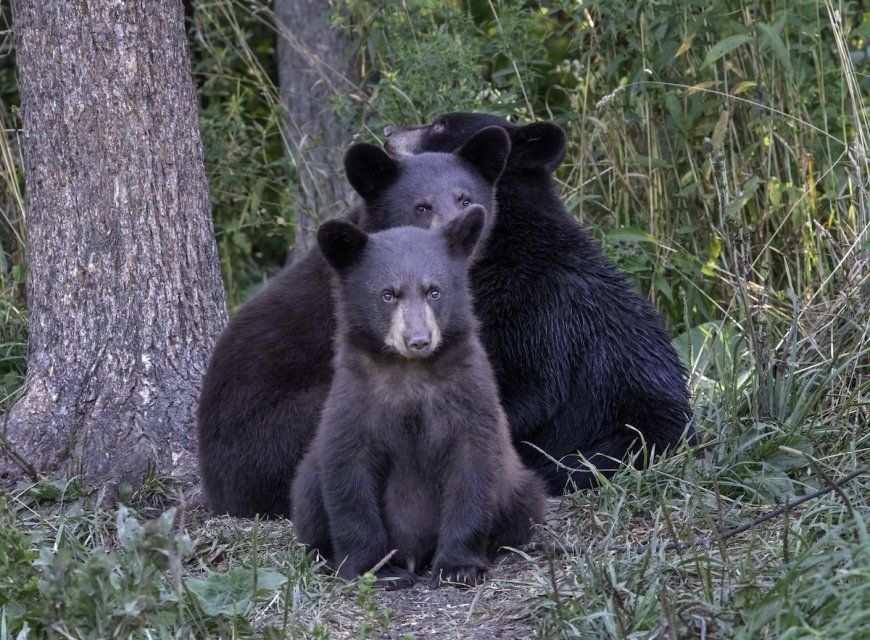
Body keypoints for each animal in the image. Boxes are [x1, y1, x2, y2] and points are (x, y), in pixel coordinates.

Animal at [291, 208, 546, 589]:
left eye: (434, 291)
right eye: (388, 294)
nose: (418, 340)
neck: (410, 373)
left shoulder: (470, 394)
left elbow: (472, 469)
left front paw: (459, 566)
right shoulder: (354, 399)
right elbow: (349, 476)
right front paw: (376, 570)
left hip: (519, 485)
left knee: (525, 505)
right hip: (308, 476)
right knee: (307, 497)